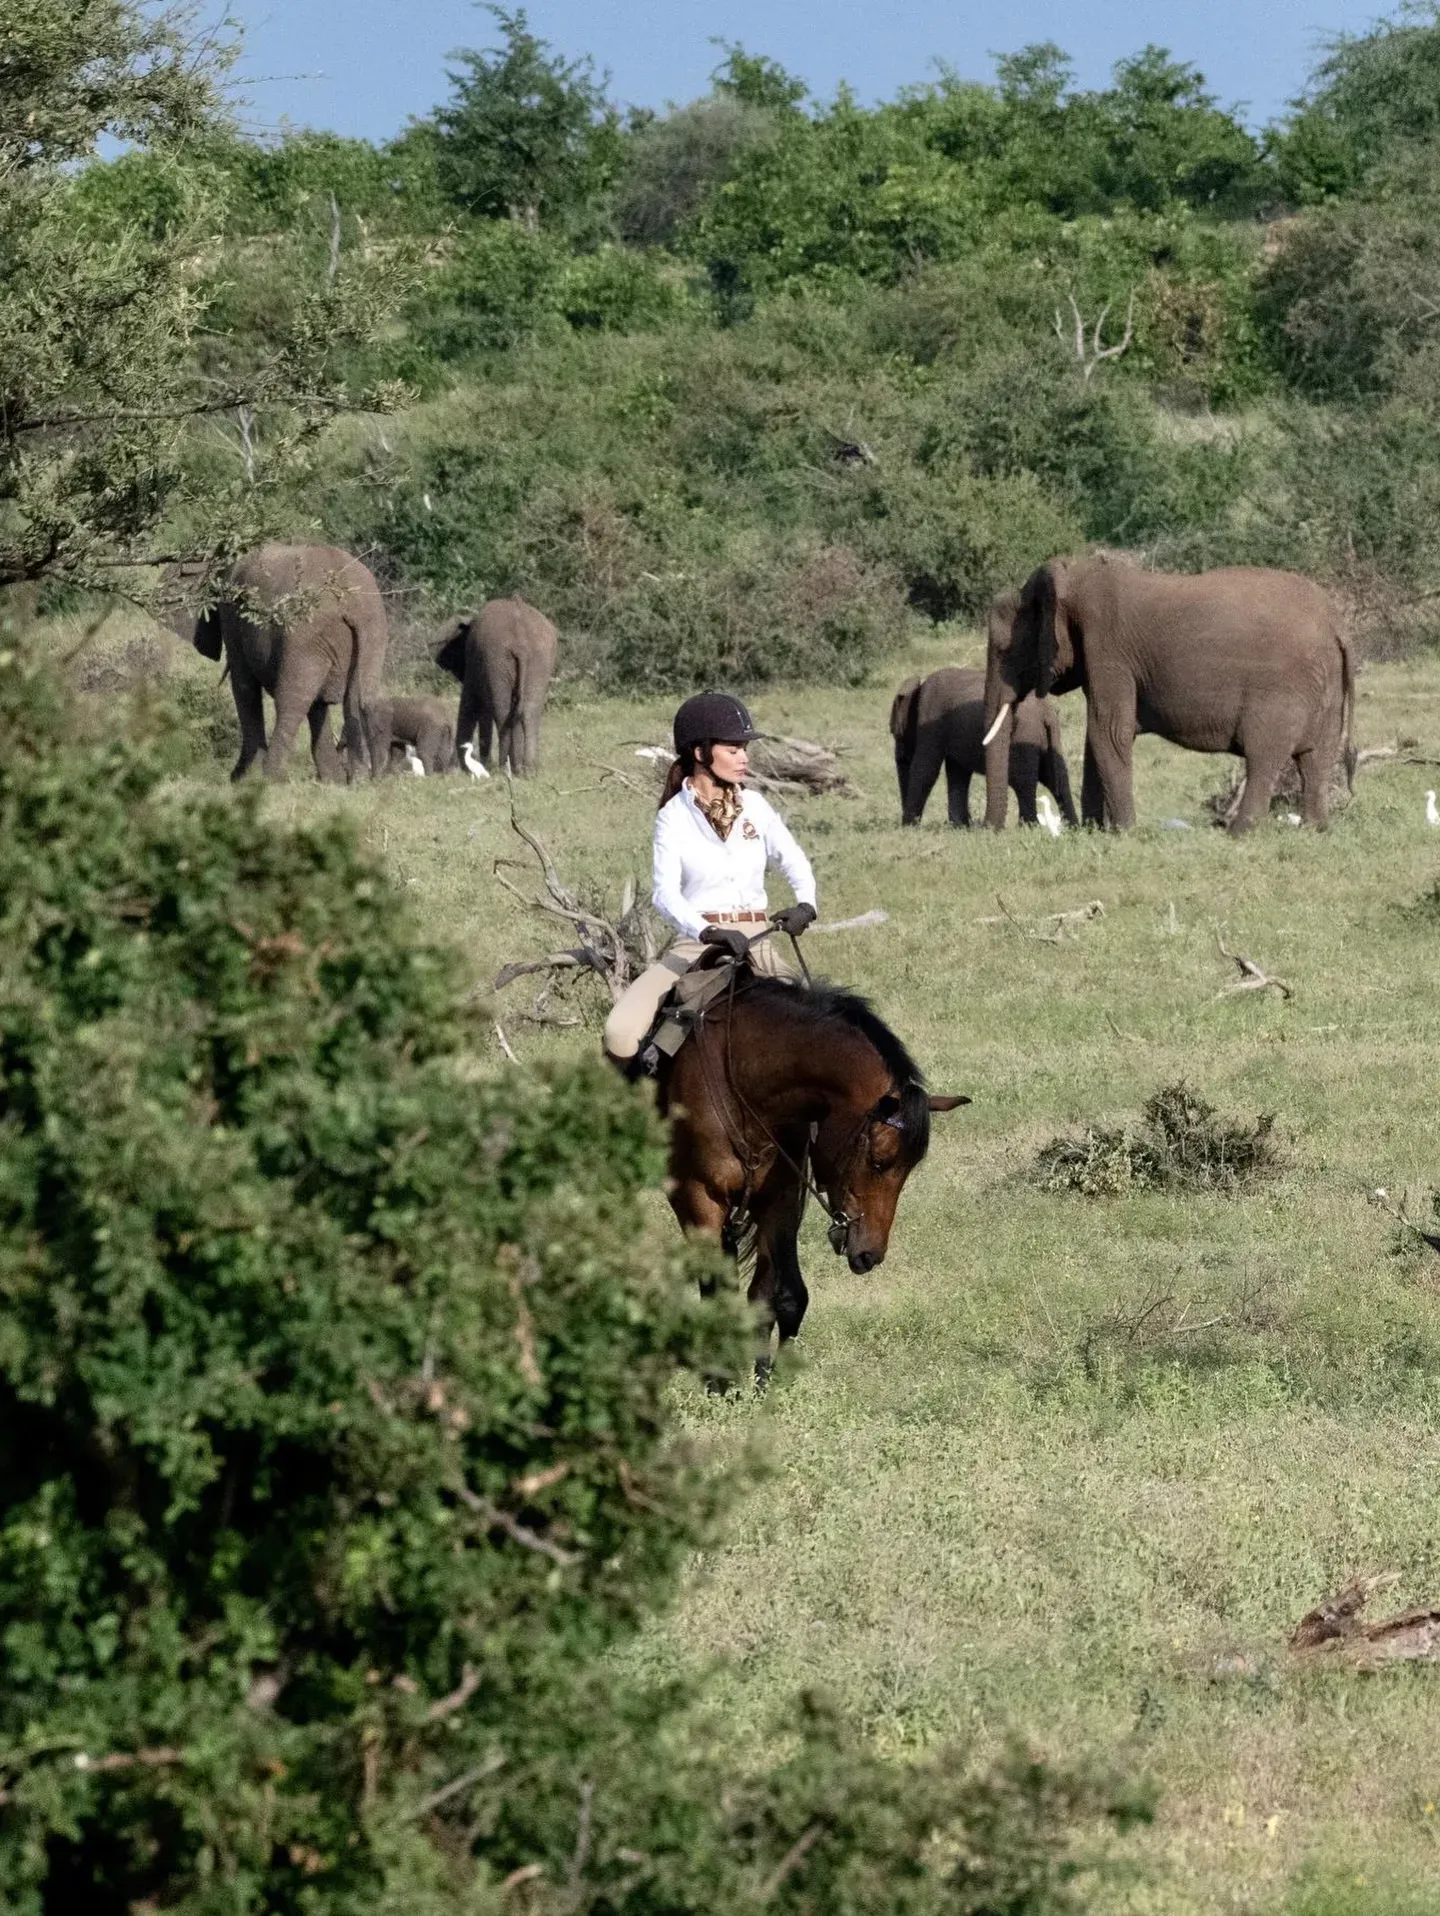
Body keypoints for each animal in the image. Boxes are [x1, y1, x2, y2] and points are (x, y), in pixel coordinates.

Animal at [185, 544, 390, 782]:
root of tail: (352, 602)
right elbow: (318, 705)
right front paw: (334, 781)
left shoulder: (232, 615)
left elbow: (244, 686)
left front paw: (241, 778)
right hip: (372, 632)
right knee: (358, 700)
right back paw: (356, 781)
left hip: (306, 633)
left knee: (291, 702)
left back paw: (269, 779)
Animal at [434, 597, 558, 777]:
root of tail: (521, 642)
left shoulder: (475, 665)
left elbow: (472, 705)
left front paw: (464, 768)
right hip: (537, 660)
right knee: (527, 712)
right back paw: (527, 770)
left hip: (497, 659)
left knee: (503, 712)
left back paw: (504, 769)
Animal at [890, 653, 1076, 831]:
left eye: (895, 733)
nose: (906, 822)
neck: (918, 687)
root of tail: (1047, 714)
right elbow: (958, 773)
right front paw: (960, 827)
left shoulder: (930, 721)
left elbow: (925, 770)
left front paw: (908, 828)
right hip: (1047, 739)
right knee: (1055, 779)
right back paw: (1071, 827)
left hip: (1024, 737)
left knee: (1022, 783)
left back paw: (1029, 827)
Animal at [982, 555, 1355, 834]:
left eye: (1003, 651)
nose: (989, 830)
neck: (1071, 577)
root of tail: (1336, 622)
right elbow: (1097, 737)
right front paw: (1094, 831)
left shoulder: (1107, 649)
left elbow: (1109, 733)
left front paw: (1124, 833)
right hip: (1326, 685)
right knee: (1316, 758)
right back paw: (1315, 829)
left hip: (1282, 688)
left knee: (1264, 755)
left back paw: (1238, 833)